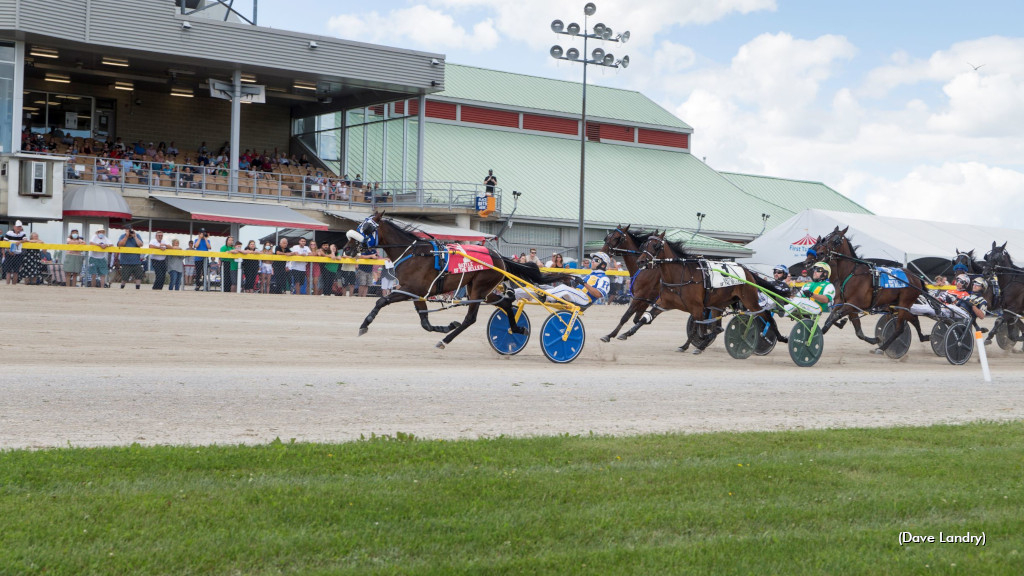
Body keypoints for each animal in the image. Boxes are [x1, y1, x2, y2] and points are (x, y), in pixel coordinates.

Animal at [344, 210, 569, 344]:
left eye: (367, 228)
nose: (347, 248)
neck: (414, 253)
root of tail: (498, 257)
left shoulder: (412, 289)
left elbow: (382, 300)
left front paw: (364, 324)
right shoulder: (418, 294)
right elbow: (425, 323)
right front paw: (447, 326)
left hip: (479, 288)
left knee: (471, 318)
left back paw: (446, 340)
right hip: (481, 290)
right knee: (506, 302)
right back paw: (516, 329)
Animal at [610, 230, 786, 352]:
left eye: (655, 246)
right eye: (644, 245)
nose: (641, 261)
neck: (679, 276)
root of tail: (747, 271)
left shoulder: (696, 306)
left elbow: (700, 329)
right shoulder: (663, 303)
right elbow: (644, 318)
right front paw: (624, 334)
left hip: (750, 300)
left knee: (765, 316)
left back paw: (779, 336)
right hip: (719, 304)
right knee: (718, 325)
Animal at [802, 226, 933, 352]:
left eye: (836, 240)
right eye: (825, 239)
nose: (809, 261)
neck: (851, 273)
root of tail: (915, 276)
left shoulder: (853, 304)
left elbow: (834, 319)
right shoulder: (842, 303)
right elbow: (848, 326)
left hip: (904, 303)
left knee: (899, 328)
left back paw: (882, 348)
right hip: (897, 304)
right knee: (914, 318)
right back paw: (924, 337)